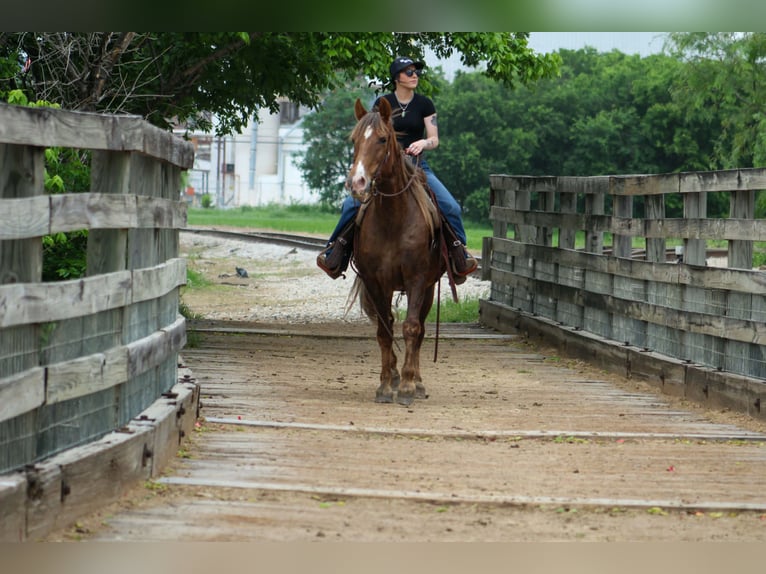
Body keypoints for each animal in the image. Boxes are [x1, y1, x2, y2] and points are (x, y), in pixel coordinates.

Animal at [345, 97, 446, 406]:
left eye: (382, 139)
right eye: (354, 139)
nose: (357, 183)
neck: (394, 218)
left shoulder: (416, 280)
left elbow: (411, 327)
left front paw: (407, 387)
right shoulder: (376, 281)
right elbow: (384, 330)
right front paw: (385, 384)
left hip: (429, 288)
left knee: (421, 329)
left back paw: (417, 381)